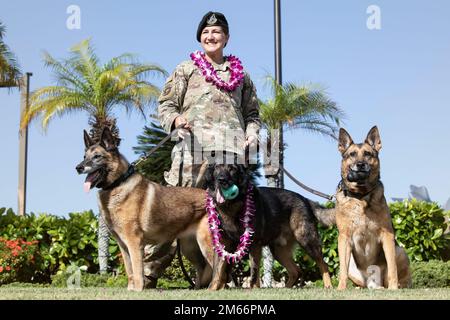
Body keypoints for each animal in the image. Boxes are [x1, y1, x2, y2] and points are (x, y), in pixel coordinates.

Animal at [75, 127, 213, 290]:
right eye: (84, 156)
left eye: (97, 156)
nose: (78, 167)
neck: (118, 183)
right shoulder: (123, 245)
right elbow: (130, 271)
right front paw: (130, 289)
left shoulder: (134, 242)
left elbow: (137, 270)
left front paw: (138, 290)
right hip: (189, 248)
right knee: (202, 267)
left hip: (205, 243)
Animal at [204, 162, 334, 290]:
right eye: (217, 167)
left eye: (232, 168)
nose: (222, 180)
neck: (231, 205)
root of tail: (305, 199)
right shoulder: (223, 244)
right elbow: (217, 272)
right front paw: (211, 289)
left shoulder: (254, 244)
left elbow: (254, 271)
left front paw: (254, 289)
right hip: (279, 251)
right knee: (296, 271)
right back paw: (285, 289)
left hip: (306, 240)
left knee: (323, 264)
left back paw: (328, 285)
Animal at [334, 126, 412, 288]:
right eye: (352, 154)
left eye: (367, 154)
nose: (360, 164)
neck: (361, 197)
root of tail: (372, 280)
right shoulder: (344, 237)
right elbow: (342, 270)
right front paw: (341, 289)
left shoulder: (387, 235)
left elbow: (392, 267)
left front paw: (394, 288)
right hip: (353, 267)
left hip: (400, 251)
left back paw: (396, 286)